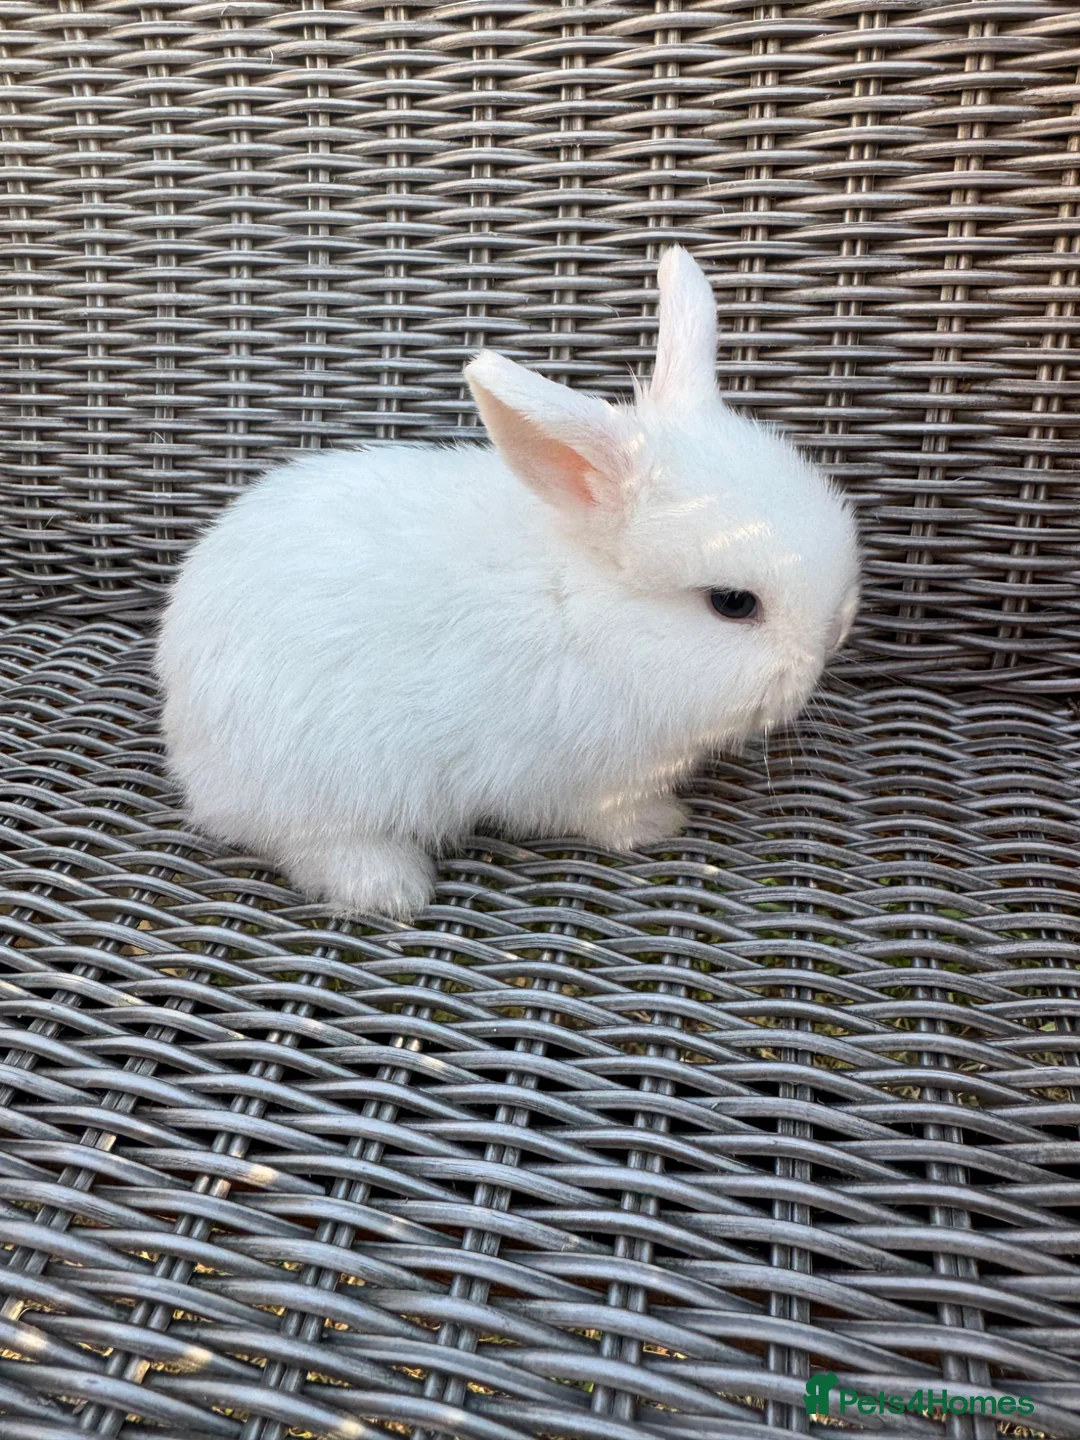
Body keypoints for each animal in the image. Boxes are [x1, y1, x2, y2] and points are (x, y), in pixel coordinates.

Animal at [156, 247, 860, 920]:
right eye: (732, 604)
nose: (831, 642)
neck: (584, 609)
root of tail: (189, 740)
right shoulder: (579, 778)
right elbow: (605, 815)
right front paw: (661, 823)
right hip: (322, 782)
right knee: (311, 843)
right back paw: (390, 889)